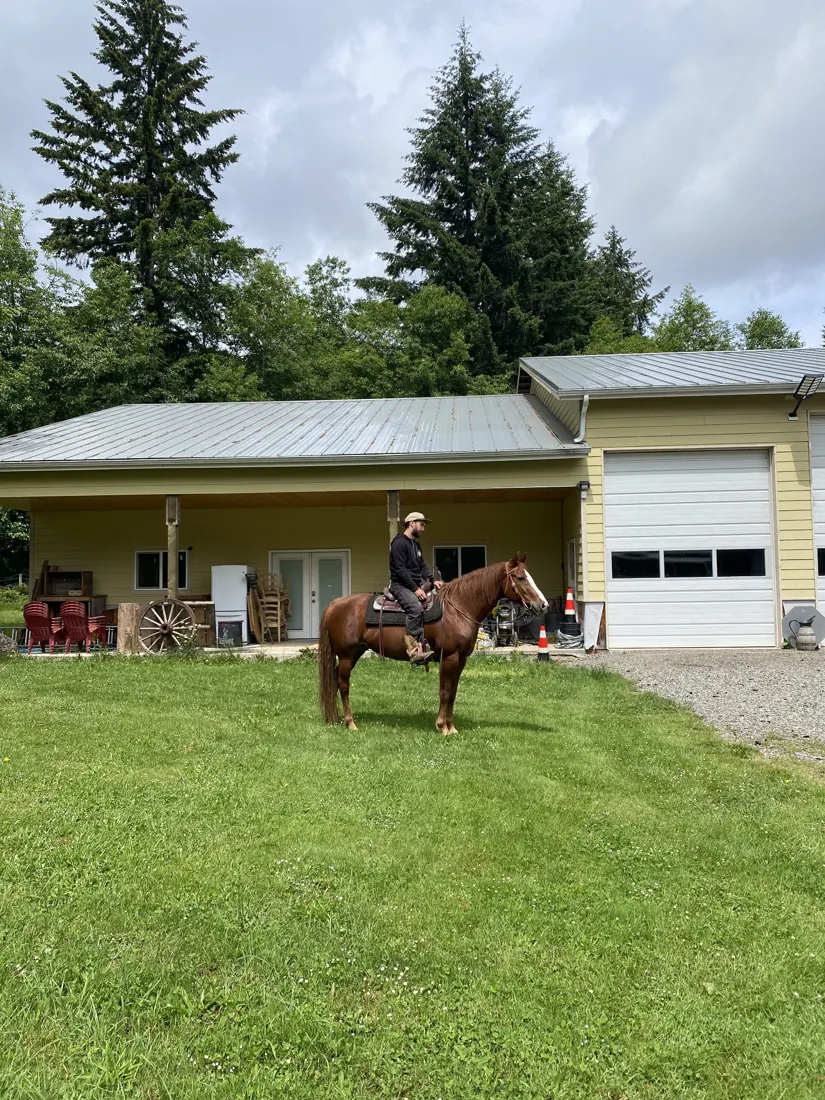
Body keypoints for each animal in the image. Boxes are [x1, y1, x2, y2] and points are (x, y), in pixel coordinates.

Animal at [318, 553, 549, 734]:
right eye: (520, 578)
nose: (543, 605)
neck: (459, 607)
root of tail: (335, 604)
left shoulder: (461, 659)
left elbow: (452, 692)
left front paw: (451, 727)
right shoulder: (450, 657)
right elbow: (445, 691)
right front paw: (442, 726)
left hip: (354, 653)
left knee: (335, 681)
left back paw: (336, 718)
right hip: (347, 655)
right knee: (343, 685)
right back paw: (350, 723)